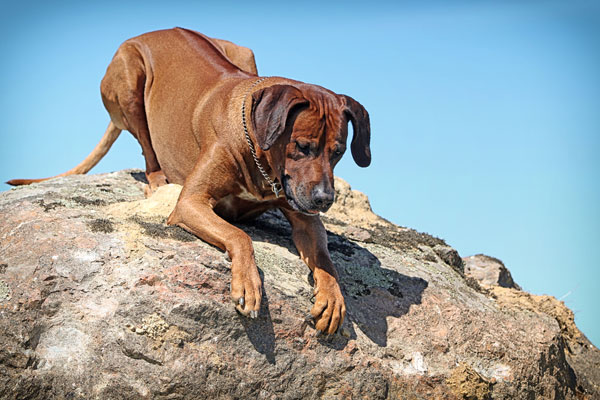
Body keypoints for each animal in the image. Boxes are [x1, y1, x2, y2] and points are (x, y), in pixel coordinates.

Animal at [8, 28, 370, 334]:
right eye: (301, 146)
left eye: (338, 152)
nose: (324, 199)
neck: (260, 156)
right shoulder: (191, 203)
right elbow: (239, 236)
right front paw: (248, 283)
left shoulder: (304, 216)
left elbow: (325, 257)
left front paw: (333, 297)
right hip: (130, 76)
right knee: (148, 148)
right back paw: (158, 180)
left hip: (243, 53)